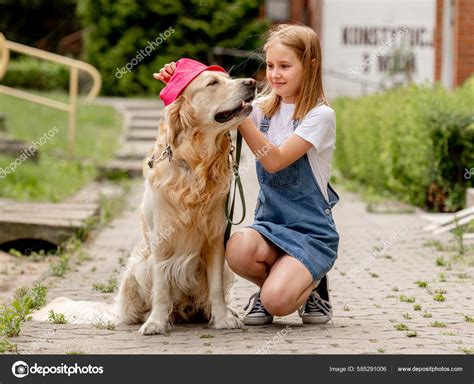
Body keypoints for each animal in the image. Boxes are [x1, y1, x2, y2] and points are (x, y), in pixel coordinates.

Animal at [115, 71, 256, 332]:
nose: (252, 82)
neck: (196, 165)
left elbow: (215, 287)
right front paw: (156, 322)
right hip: (139, 265)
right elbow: (161, 287)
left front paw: (222, 318)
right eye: (213, 83)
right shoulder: (161, 239)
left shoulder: (216, 237)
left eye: (228, 77)